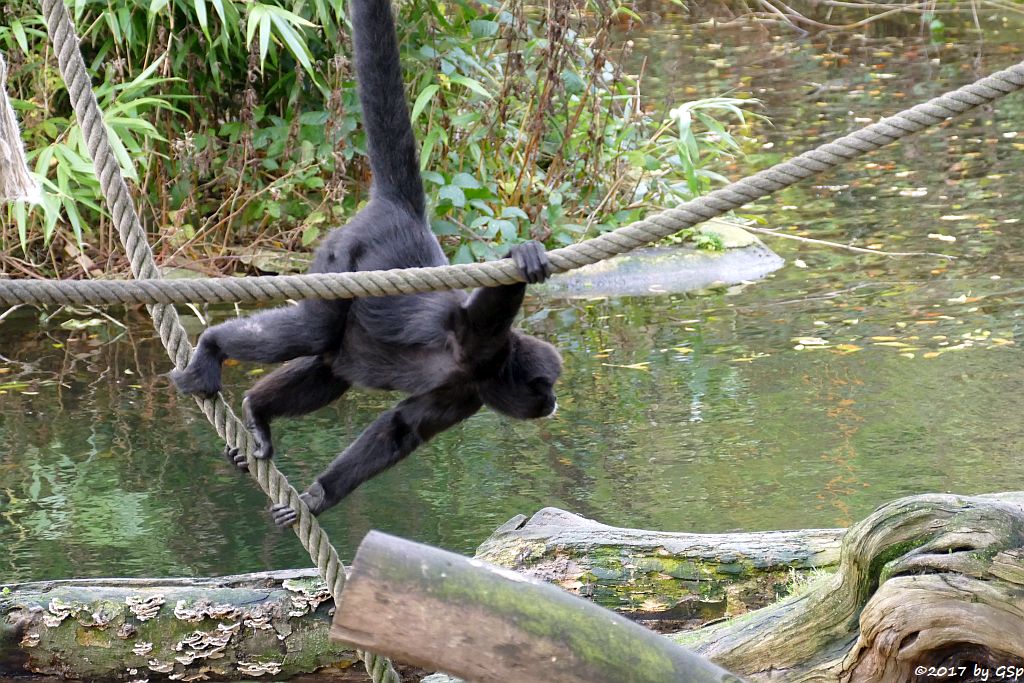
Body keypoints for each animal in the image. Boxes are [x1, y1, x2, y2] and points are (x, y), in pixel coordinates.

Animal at [172, 0, 565, 528]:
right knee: (312, 332)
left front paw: (317, 498)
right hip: (342, 257)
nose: (554, 401)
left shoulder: (464, 394)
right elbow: (481, 311)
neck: (485, 369)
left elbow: (402, 428)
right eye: (544, 385)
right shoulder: (479, 342)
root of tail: (400, 213)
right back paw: (213, 350)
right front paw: (522, 256)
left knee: (330, 366)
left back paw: (257, 411)